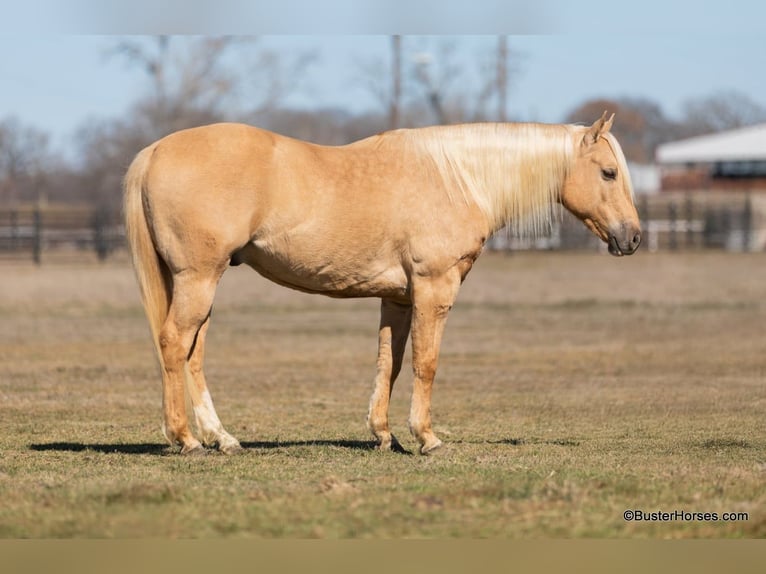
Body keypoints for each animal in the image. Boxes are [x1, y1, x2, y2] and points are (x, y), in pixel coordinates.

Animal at [123, 112, 641, 456]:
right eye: (609, 172)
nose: (632, 237)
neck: (457, 178)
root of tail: (154, 151)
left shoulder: (398, 299)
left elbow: (387, 364)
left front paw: (384, 434)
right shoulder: (434, 289)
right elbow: (425, 363)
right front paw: (426, 438)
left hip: (199, 283)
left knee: (192, 355)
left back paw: (221, 438)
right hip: (198, 279)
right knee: (173, 344)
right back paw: (186, 439)